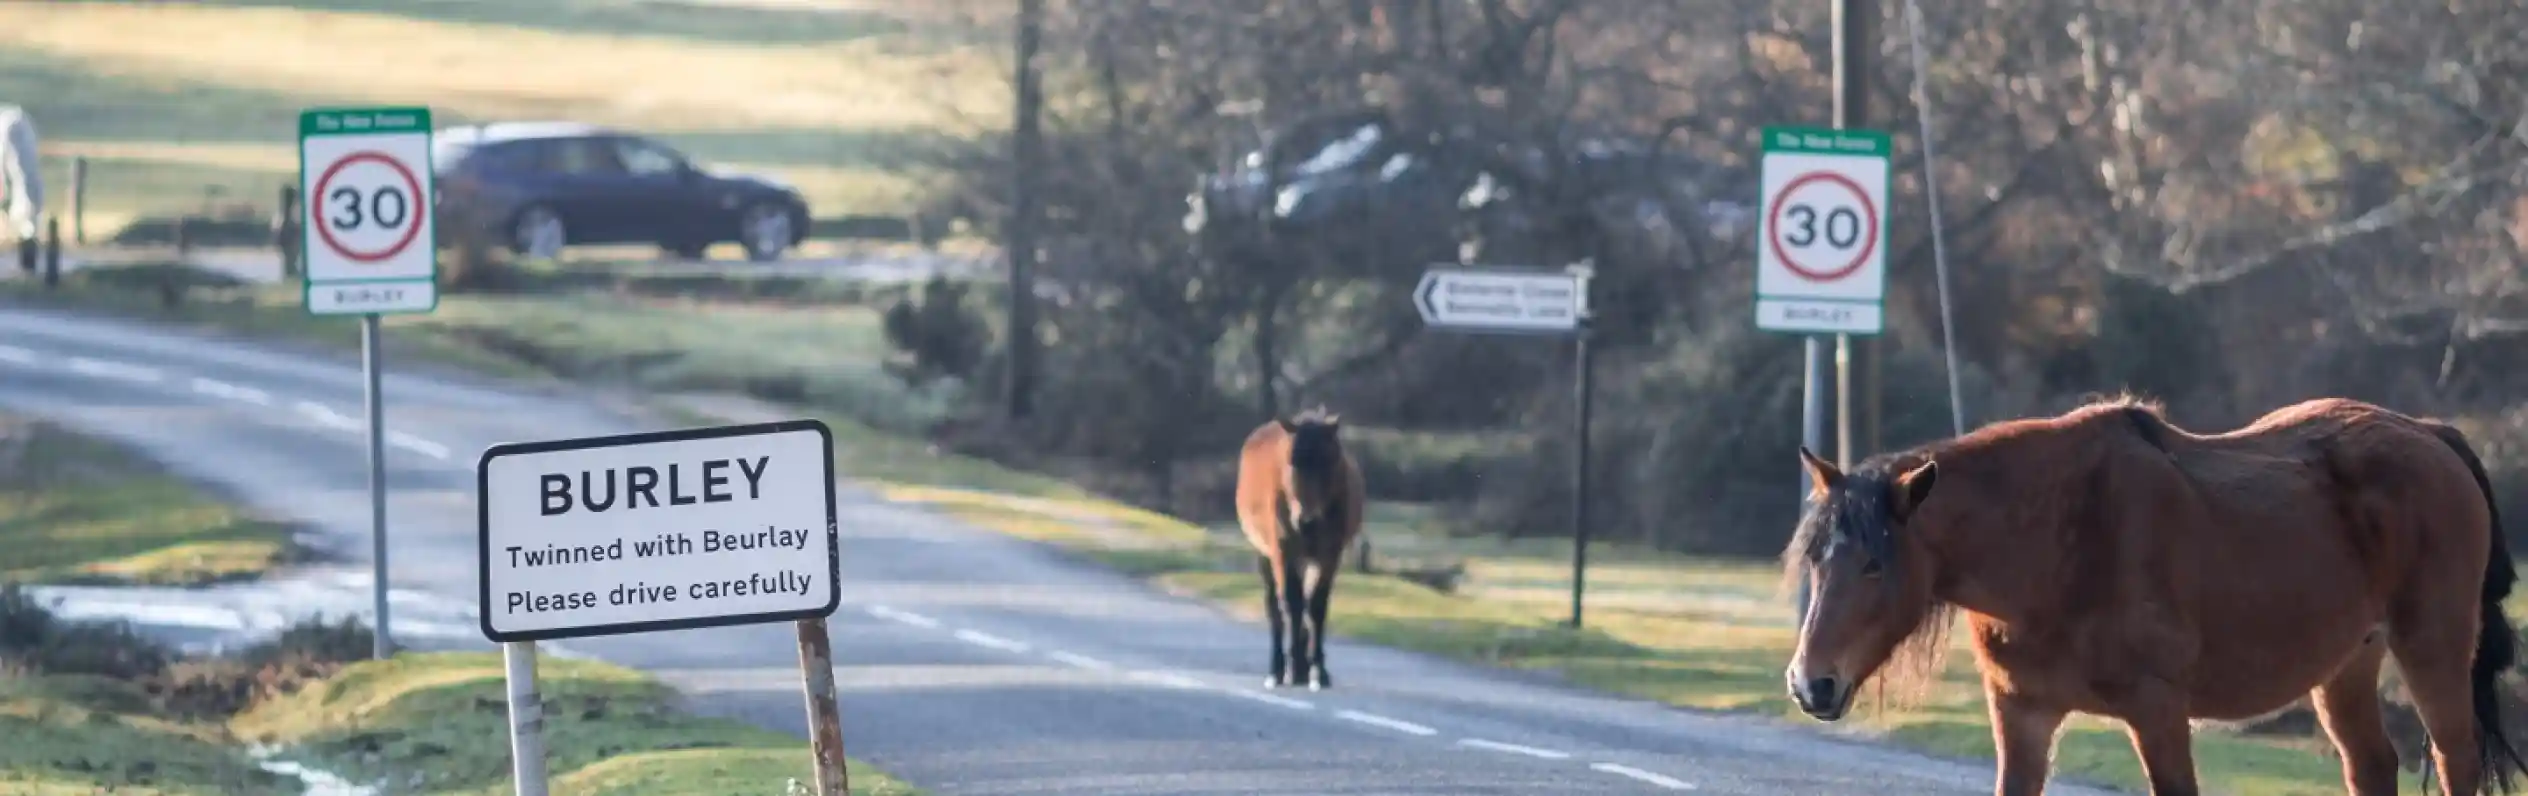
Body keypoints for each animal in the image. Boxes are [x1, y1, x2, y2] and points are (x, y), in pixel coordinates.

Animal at [1235, 406, 1366, 690]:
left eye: (1329, 461)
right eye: (1292, 461)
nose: (1307, 521)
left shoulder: (1329, 555)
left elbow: (1316, 606)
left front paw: (1317, 671)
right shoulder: (1283, 552)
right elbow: (1292, 604)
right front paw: (1292, 669)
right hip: (1265, 555)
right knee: (1275, 608)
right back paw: (1277, 669)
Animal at [1781, 395, 2528, 796]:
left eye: (1874, 565)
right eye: (1814, 557)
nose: (1810, 683)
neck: (2057, 545)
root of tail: (2430, 434)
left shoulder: (2158, 711)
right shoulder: (2022, 712)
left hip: (2431, 649)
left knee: (2454, 757)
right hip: (2347, 665)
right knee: (2371, 764)